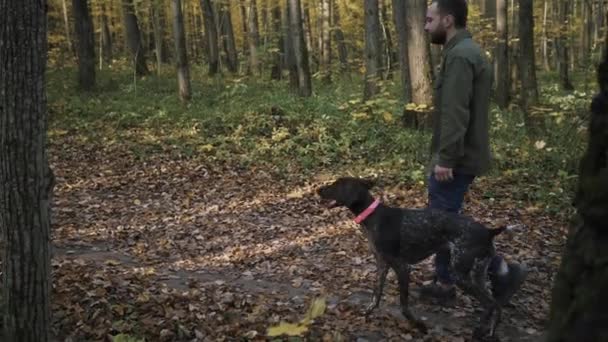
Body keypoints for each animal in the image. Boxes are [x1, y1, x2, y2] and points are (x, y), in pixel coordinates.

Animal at [318, 178, 508, 340]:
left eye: (336, 185)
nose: (318, 189)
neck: (372, 216)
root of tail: (489, 231)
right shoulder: (382, 265)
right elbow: (375, 296)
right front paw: (366, 314)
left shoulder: (403, 268)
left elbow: (403, 305)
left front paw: (418, 325)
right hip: (477, 273)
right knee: (496, 305)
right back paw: (489, 332)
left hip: (460, 274)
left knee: (490, 304)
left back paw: (479, 332)